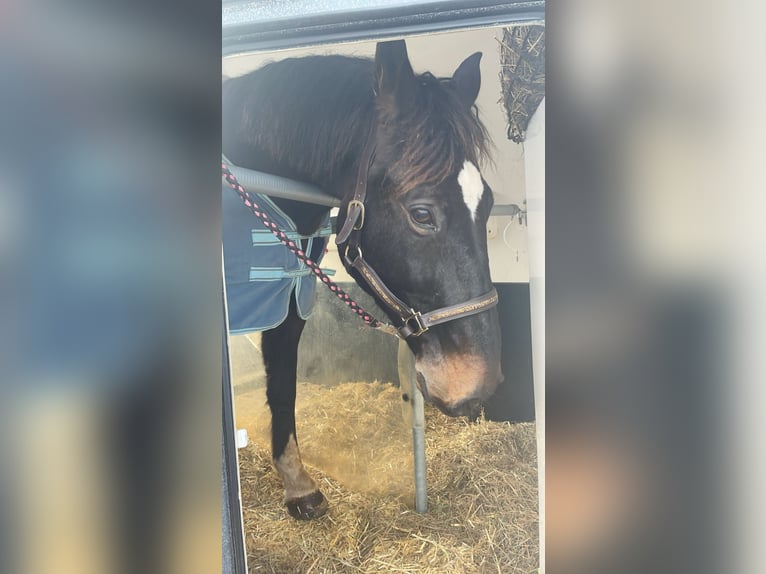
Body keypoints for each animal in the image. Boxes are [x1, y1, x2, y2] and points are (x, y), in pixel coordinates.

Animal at [222, 38, 504, 520]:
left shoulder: (289, 299)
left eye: (485, 204)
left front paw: (299, 487)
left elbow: (282, 381)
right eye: (421, 213)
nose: (478, 387)